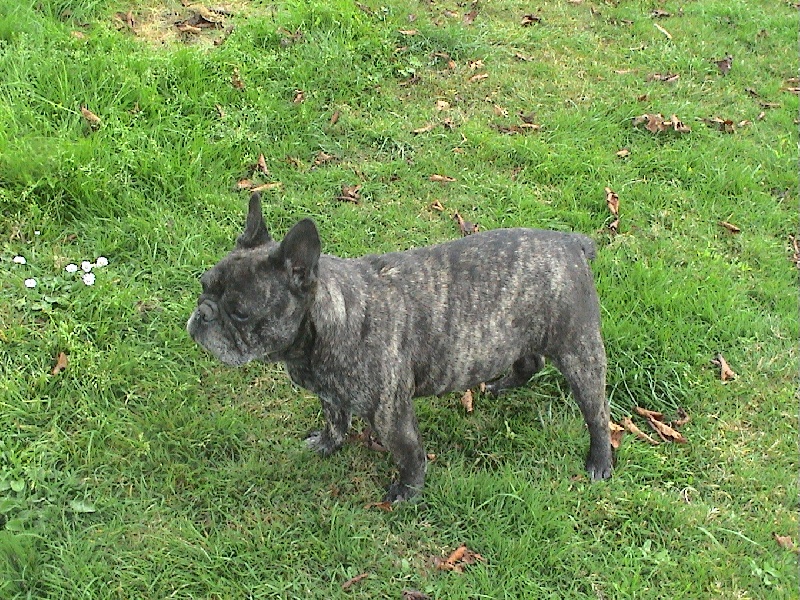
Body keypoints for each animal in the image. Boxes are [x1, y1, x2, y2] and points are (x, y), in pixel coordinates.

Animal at [187, 192, 613, 502]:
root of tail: (571, 243)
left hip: (579, 352)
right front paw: (325, 445)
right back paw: (500, 385)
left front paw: (407, 492)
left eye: (240, 312)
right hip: (515, 334)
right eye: (204, 285)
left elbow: (409, 454)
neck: (330, 321)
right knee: (528, 361)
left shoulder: (391, 414)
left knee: (596, 413)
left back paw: (599, 461)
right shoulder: (330, 395)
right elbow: (334, 421)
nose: (203, 314)